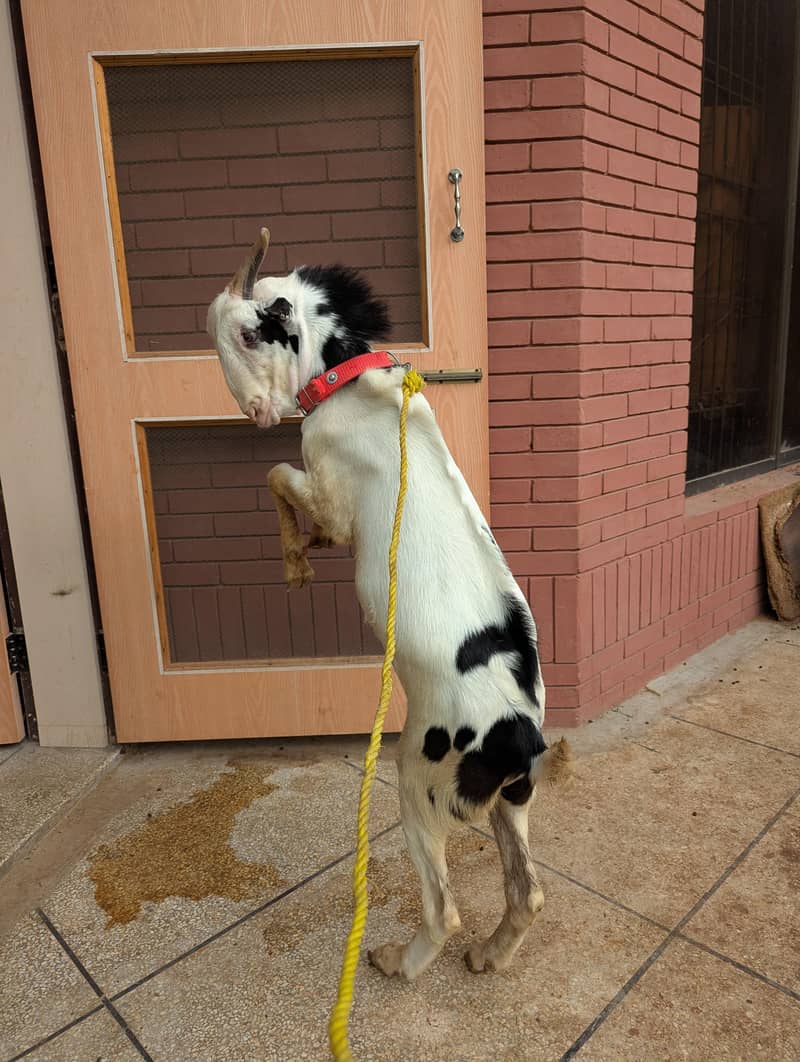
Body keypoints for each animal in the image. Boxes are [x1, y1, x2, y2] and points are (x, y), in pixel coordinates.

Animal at [207, 229, 570, 979]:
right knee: (527, 892)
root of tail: (518, 736)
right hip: (509, 805)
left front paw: (295, 560)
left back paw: (398, 961)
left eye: (249, 333)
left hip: (414, 780)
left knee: (444, 908)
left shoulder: (327, 484)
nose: (256, 413)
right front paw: (300, 551)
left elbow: (277, 475)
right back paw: (490, 955)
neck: (352, 380)